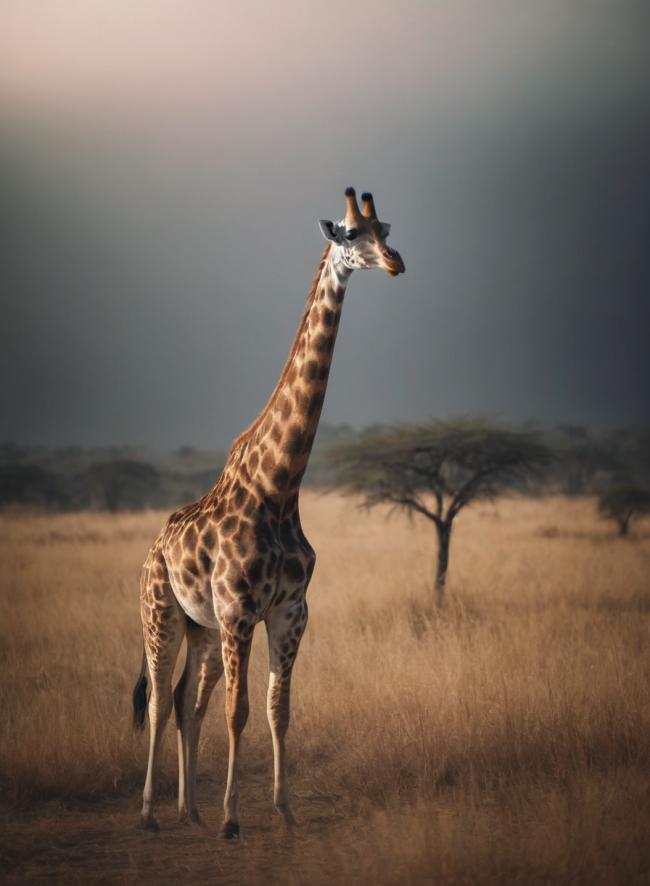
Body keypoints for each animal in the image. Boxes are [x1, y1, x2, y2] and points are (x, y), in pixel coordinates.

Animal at [132, 187, 405, 839]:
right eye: (349, 236)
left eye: (386, 230)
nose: (395, 263)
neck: (280, 487)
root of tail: (152, 548)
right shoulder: (240, 611)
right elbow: (240, 712)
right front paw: (234, 820)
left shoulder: (290, 610)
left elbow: (279, 710)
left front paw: (283, 810)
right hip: (161, 615)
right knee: (157, 700)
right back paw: (150, 811)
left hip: (202, 628)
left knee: (186, 701)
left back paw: (189, 808)